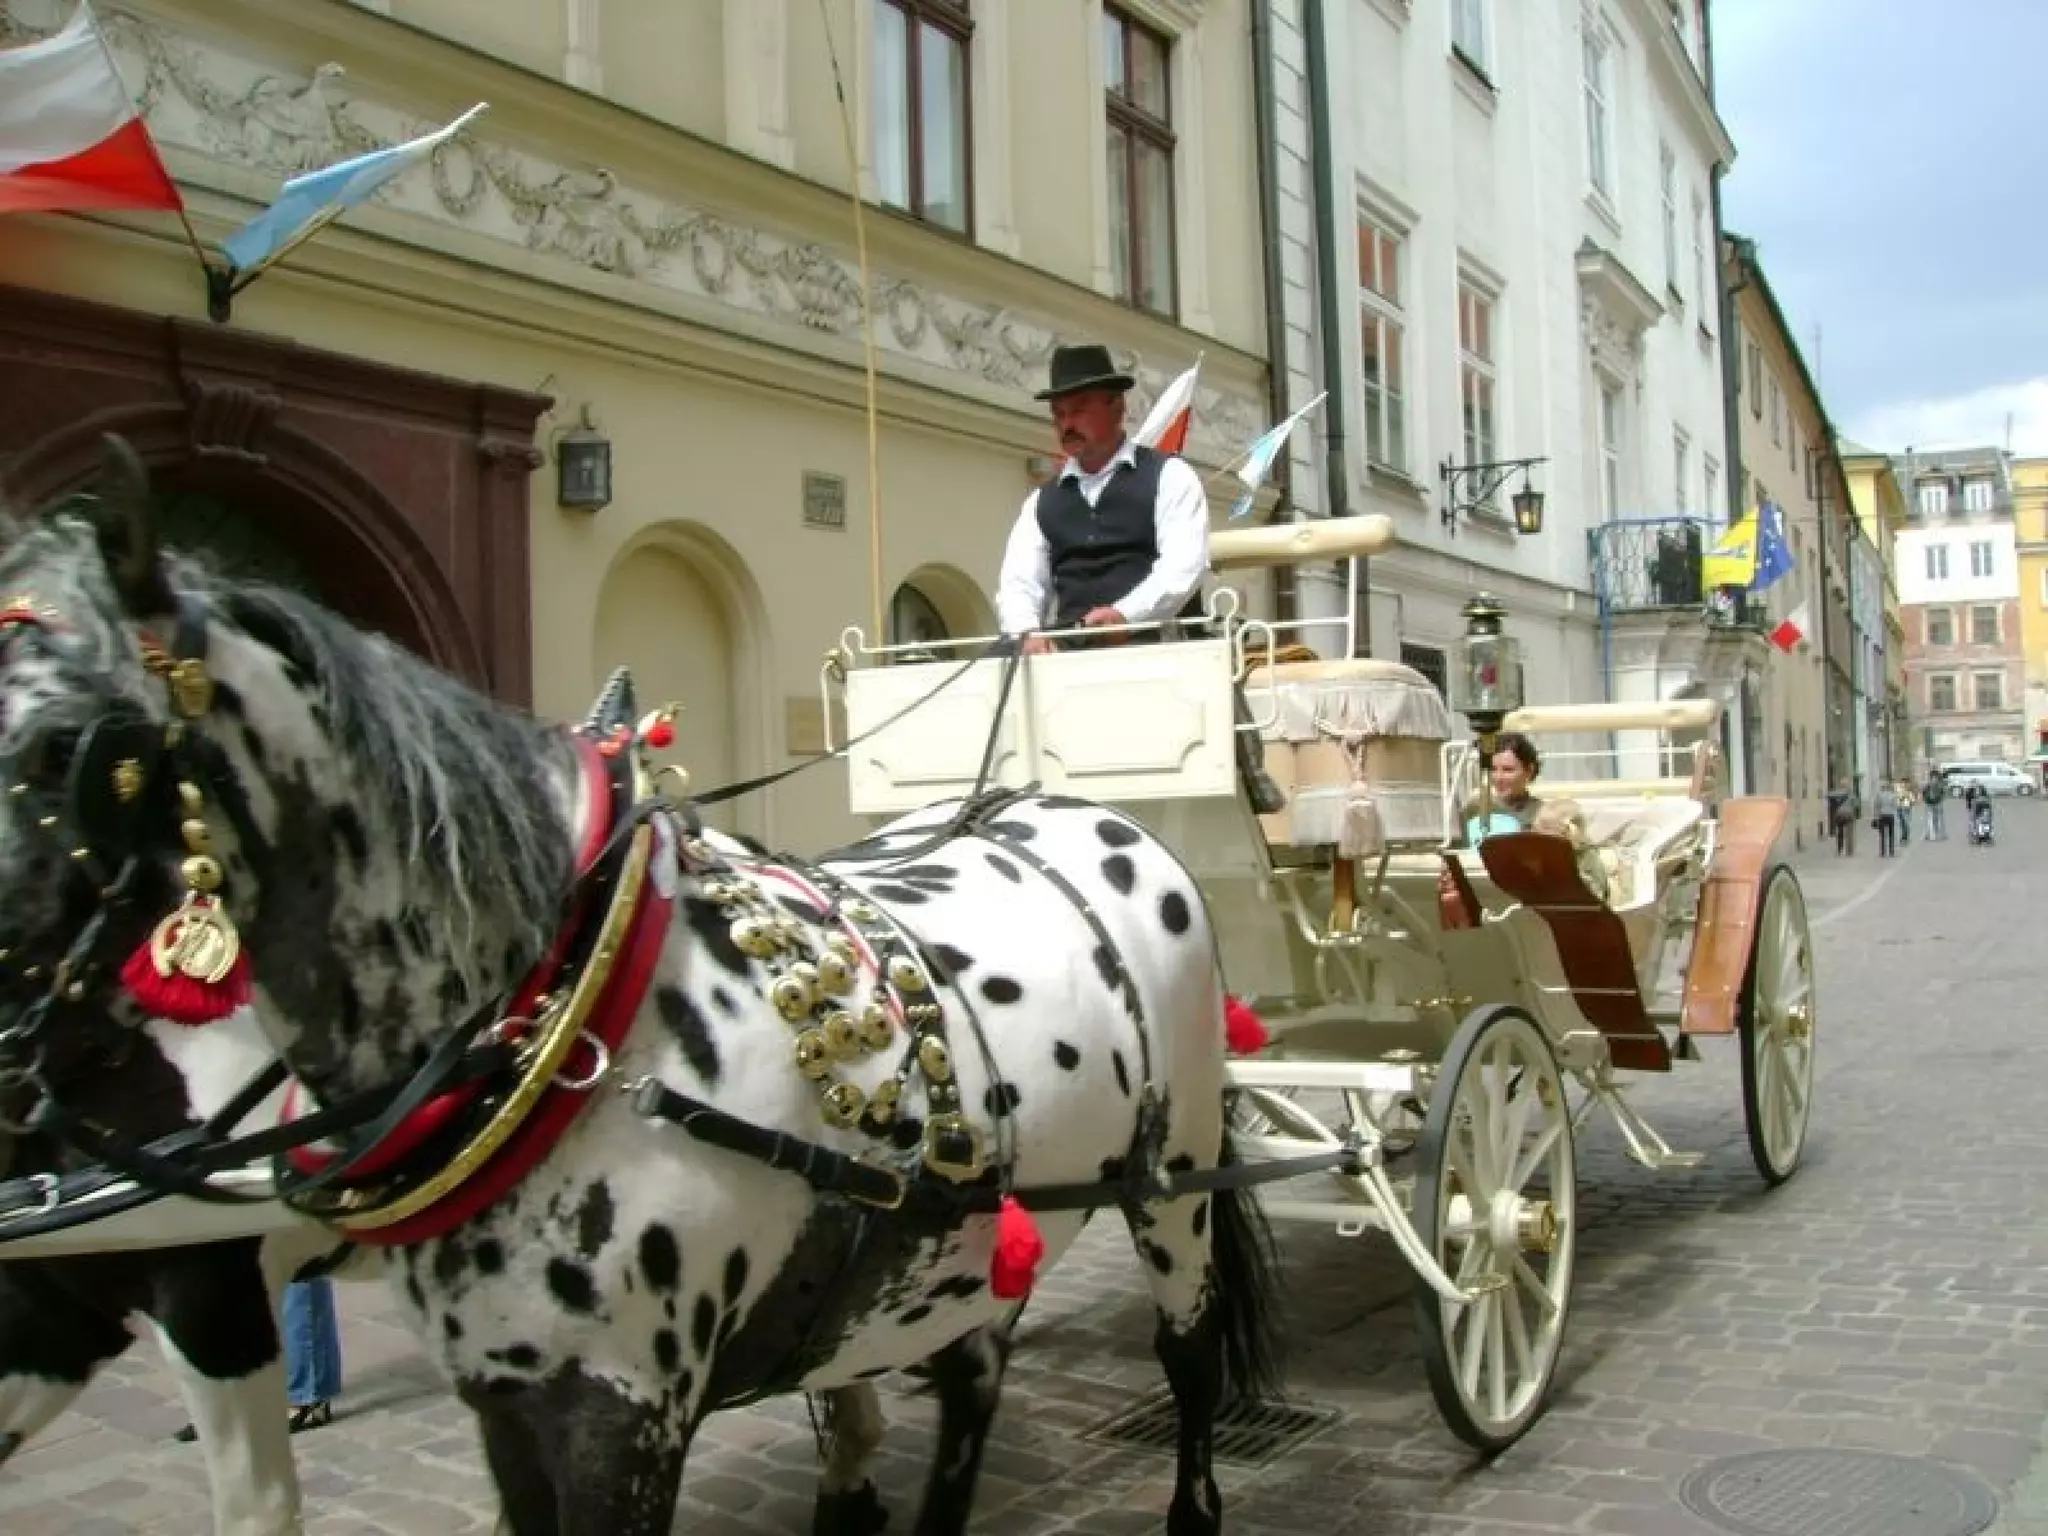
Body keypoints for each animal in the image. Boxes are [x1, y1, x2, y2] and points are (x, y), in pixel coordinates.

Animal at [0, 438, 1285, 1534]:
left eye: (70, 746)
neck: (565, 1025)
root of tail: (1062, 803)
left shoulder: (618, 1410)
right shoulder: (498, 1395)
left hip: (1170, 1179)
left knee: (1185, 1352)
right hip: (966, 1240)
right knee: (972, 1374)